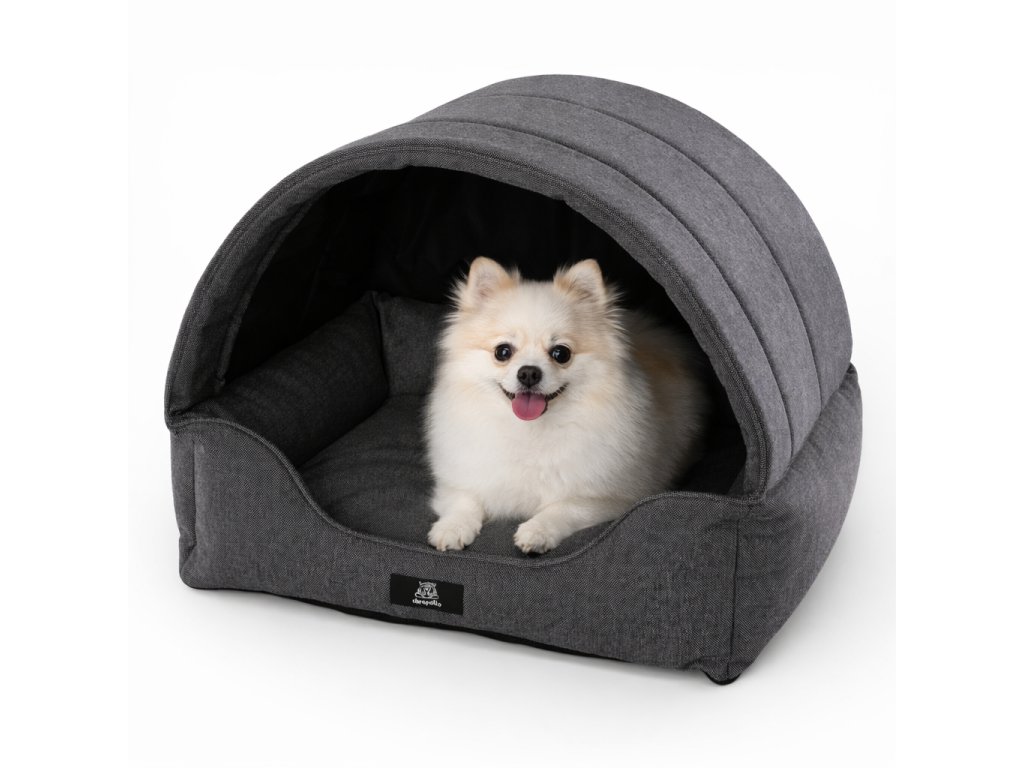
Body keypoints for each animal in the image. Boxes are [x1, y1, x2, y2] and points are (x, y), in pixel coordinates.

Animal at [425, 257, 711, 554]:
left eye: (561, 353)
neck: (529, 431)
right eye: (502, 352)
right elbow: (464, 499)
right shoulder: (458, 479)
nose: (529, 373)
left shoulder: (608, 498)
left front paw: (537, 531)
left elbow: (564, 508)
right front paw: (452, 527)